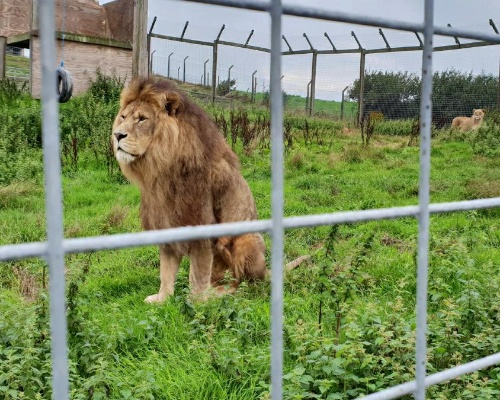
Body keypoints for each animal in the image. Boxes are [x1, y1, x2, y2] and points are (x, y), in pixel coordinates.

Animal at [111, 77, 268, 304]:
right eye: (123, 117)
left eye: (142, 119)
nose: (117, 135)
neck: (161, 173)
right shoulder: (165, 226)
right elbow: (166, 273)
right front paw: (162, 299)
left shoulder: (202, 230)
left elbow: (197, 278)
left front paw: (196, 303)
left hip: (246, 240)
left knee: (246, 284)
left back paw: (221, 294)